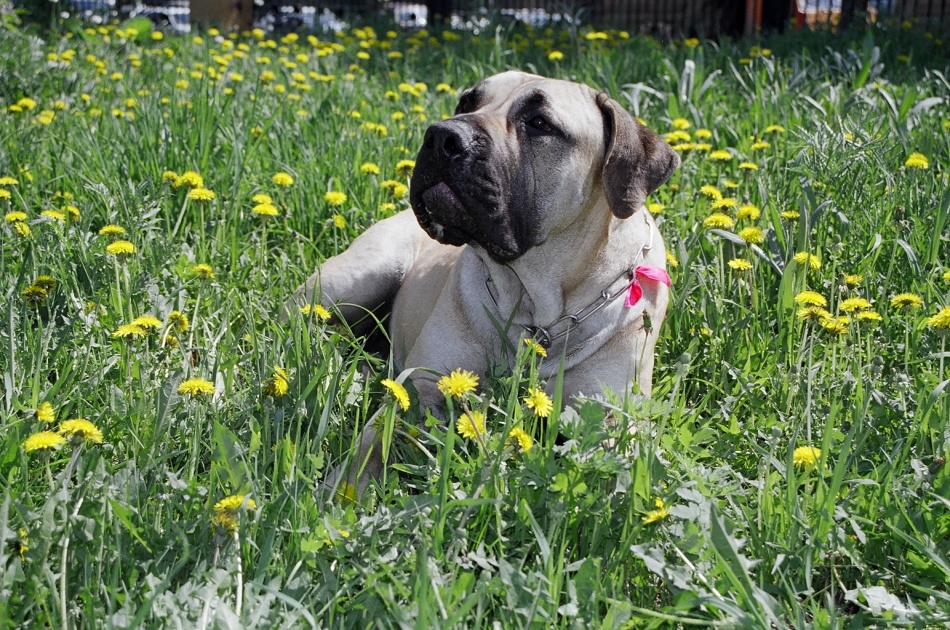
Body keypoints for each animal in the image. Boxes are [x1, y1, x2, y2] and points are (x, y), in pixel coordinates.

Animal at [286, 69, 680, 494]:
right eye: (466, 103)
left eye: (539, 123)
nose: (441, 136)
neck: (536, 307)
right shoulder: (421, 386)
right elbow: (368, 451)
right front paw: (337, 496)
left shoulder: (609, 417)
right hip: (359, 276)